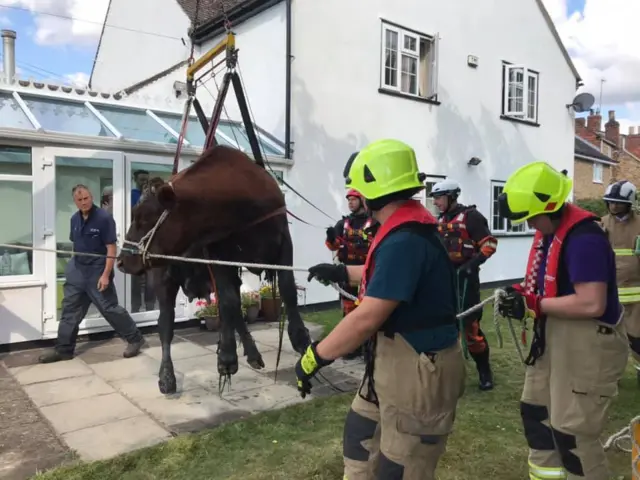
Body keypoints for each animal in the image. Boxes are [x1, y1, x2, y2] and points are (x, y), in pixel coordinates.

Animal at [119, 145, 314, 394]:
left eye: (143, 219)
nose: (122, 261)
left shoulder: (283, 242)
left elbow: (287, 288)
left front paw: (300, 339)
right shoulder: (218, 254)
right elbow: (228, 301)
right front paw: (227, 358)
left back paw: (252, 354)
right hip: (163, 279)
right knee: (166, 325)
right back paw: (167, 376)